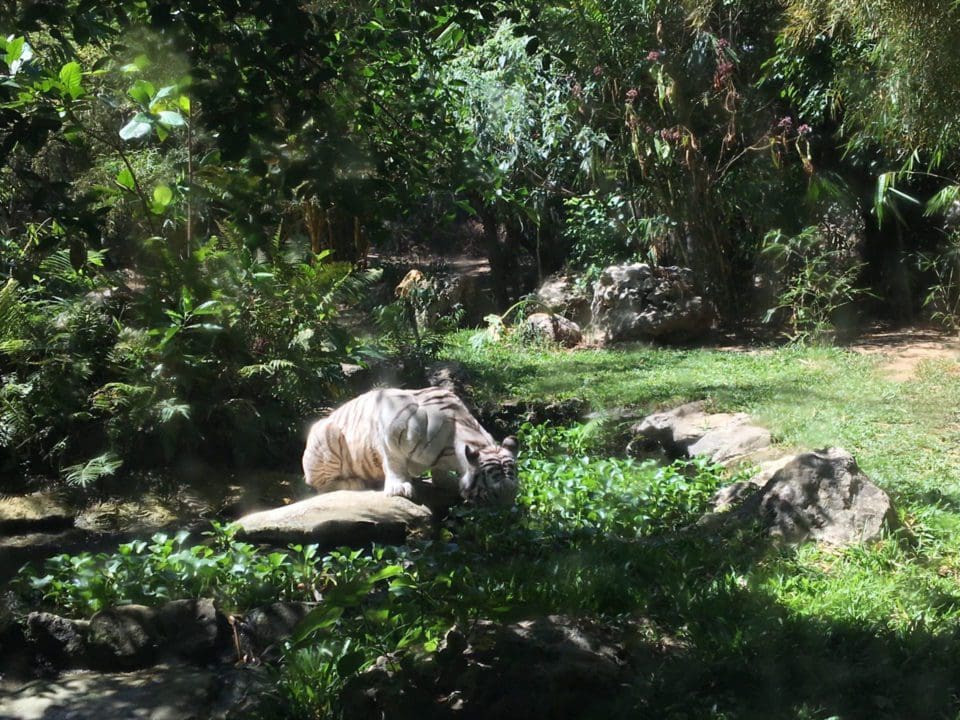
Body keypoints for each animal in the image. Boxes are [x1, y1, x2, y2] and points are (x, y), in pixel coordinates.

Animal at [304, 388, 520, 506]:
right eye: (494, 494)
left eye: (514, 492)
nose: (508, 518)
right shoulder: (391, 428)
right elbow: (394, 462)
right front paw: (399, 488)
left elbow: (439, 472)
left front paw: (446, 482)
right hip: (327, 433)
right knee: (320, 487)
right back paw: (355, 483)